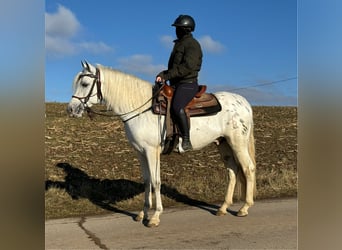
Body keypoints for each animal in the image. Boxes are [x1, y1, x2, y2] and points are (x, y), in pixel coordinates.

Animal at [67, 60, 255, 227]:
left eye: (84, 83)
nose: (71, 109)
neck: (140, 109)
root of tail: (244, 103)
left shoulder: (152, 151)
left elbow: (156, 181)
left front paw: (155, 216)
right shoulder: (140, 152)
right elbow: (147, 181)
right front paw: (142, 213)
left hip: (237, 143)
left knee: (248, 169)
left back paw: (245, 208)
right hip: (223, 144)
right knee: (232, 172)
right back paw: (223, 208)